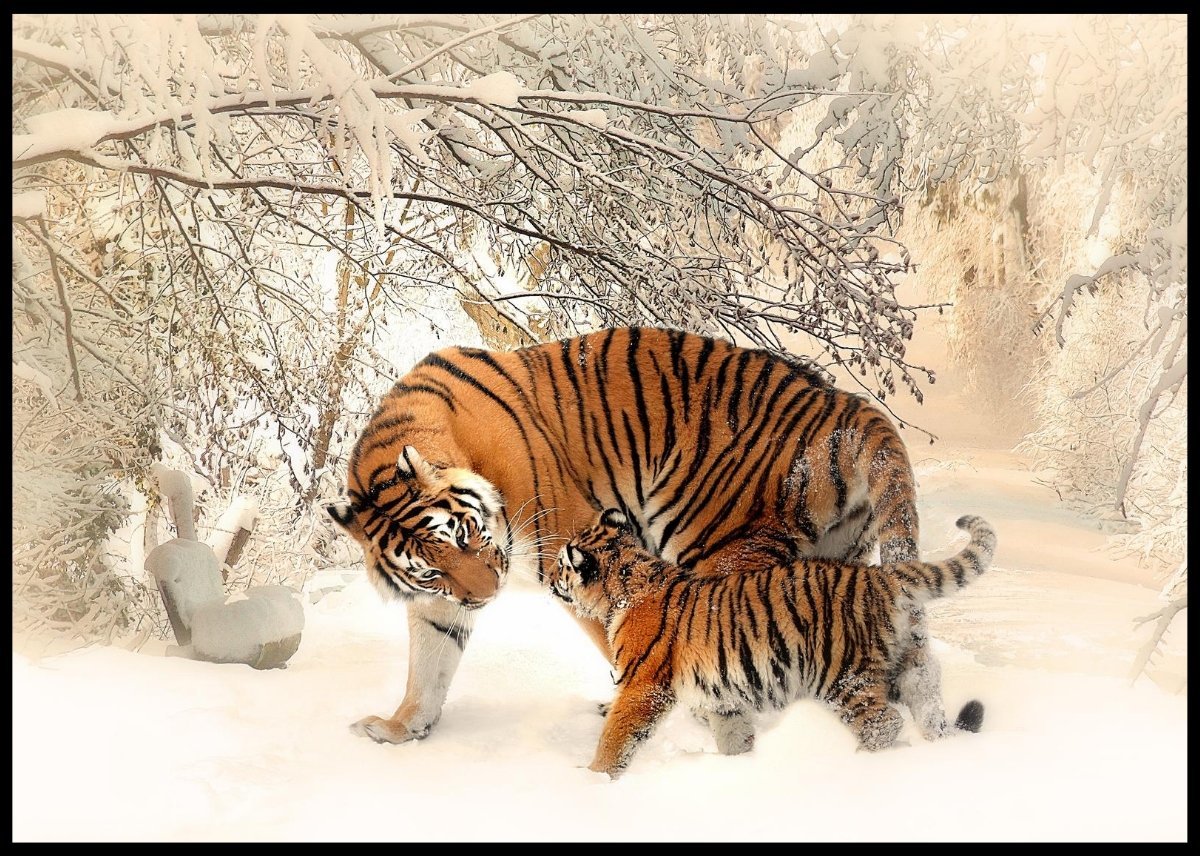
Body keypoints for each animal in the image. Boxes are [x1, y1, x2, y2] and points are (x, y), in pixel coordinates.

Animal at [326, 326, 955, 748]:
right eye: (430, 568)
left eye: (463, 535)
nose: (486, 596)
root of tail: (847, 405)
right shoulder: (441, 600)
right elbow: (429, 661)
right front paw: (400, 728)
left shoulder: (568, 543)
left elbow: (627, 642)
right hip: (836, 560)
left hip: (721, 547)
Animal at [550, 508, 995, 779]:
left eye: (560, 565)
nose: (550, 579)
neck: (626, 584)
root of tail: (880, 576)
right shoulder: (722, 698)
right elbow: (733, 736)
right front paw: (741, 767)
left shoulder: (642, 687)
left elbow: (616, 737)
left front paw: (593, 780)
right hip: (905, 665)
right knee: (927, 702)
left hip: (842, 675)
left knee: (883, 723)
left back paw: (859, 765)